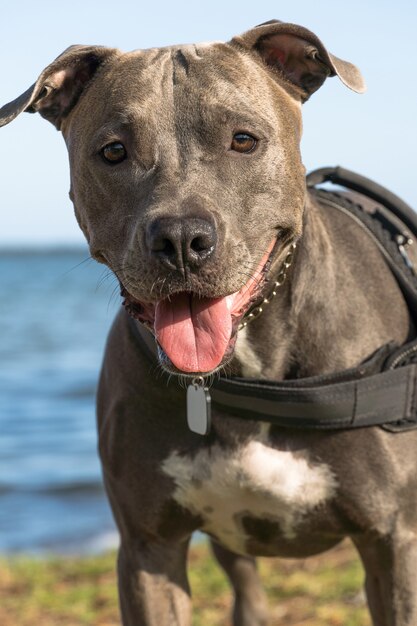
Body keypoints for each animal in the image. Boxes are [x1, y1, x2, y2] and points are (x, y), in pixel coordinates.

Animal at [1, 19, 414, 624]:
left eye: (243, 140)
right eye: (114, 151)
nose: (179, 238)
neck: (244, 369)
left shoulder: (393, 540)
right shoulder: (149, 547)